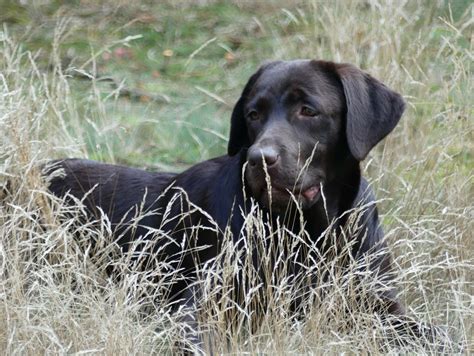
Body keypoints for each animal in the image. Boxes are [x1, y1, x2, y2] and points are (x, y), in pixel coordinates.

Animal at [48, 59, 426, 350]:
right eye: (253, 114)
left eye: (308, 111)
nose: (260, 159)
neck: (308, 230)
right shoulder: (203, 304)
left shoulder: (382, 306)